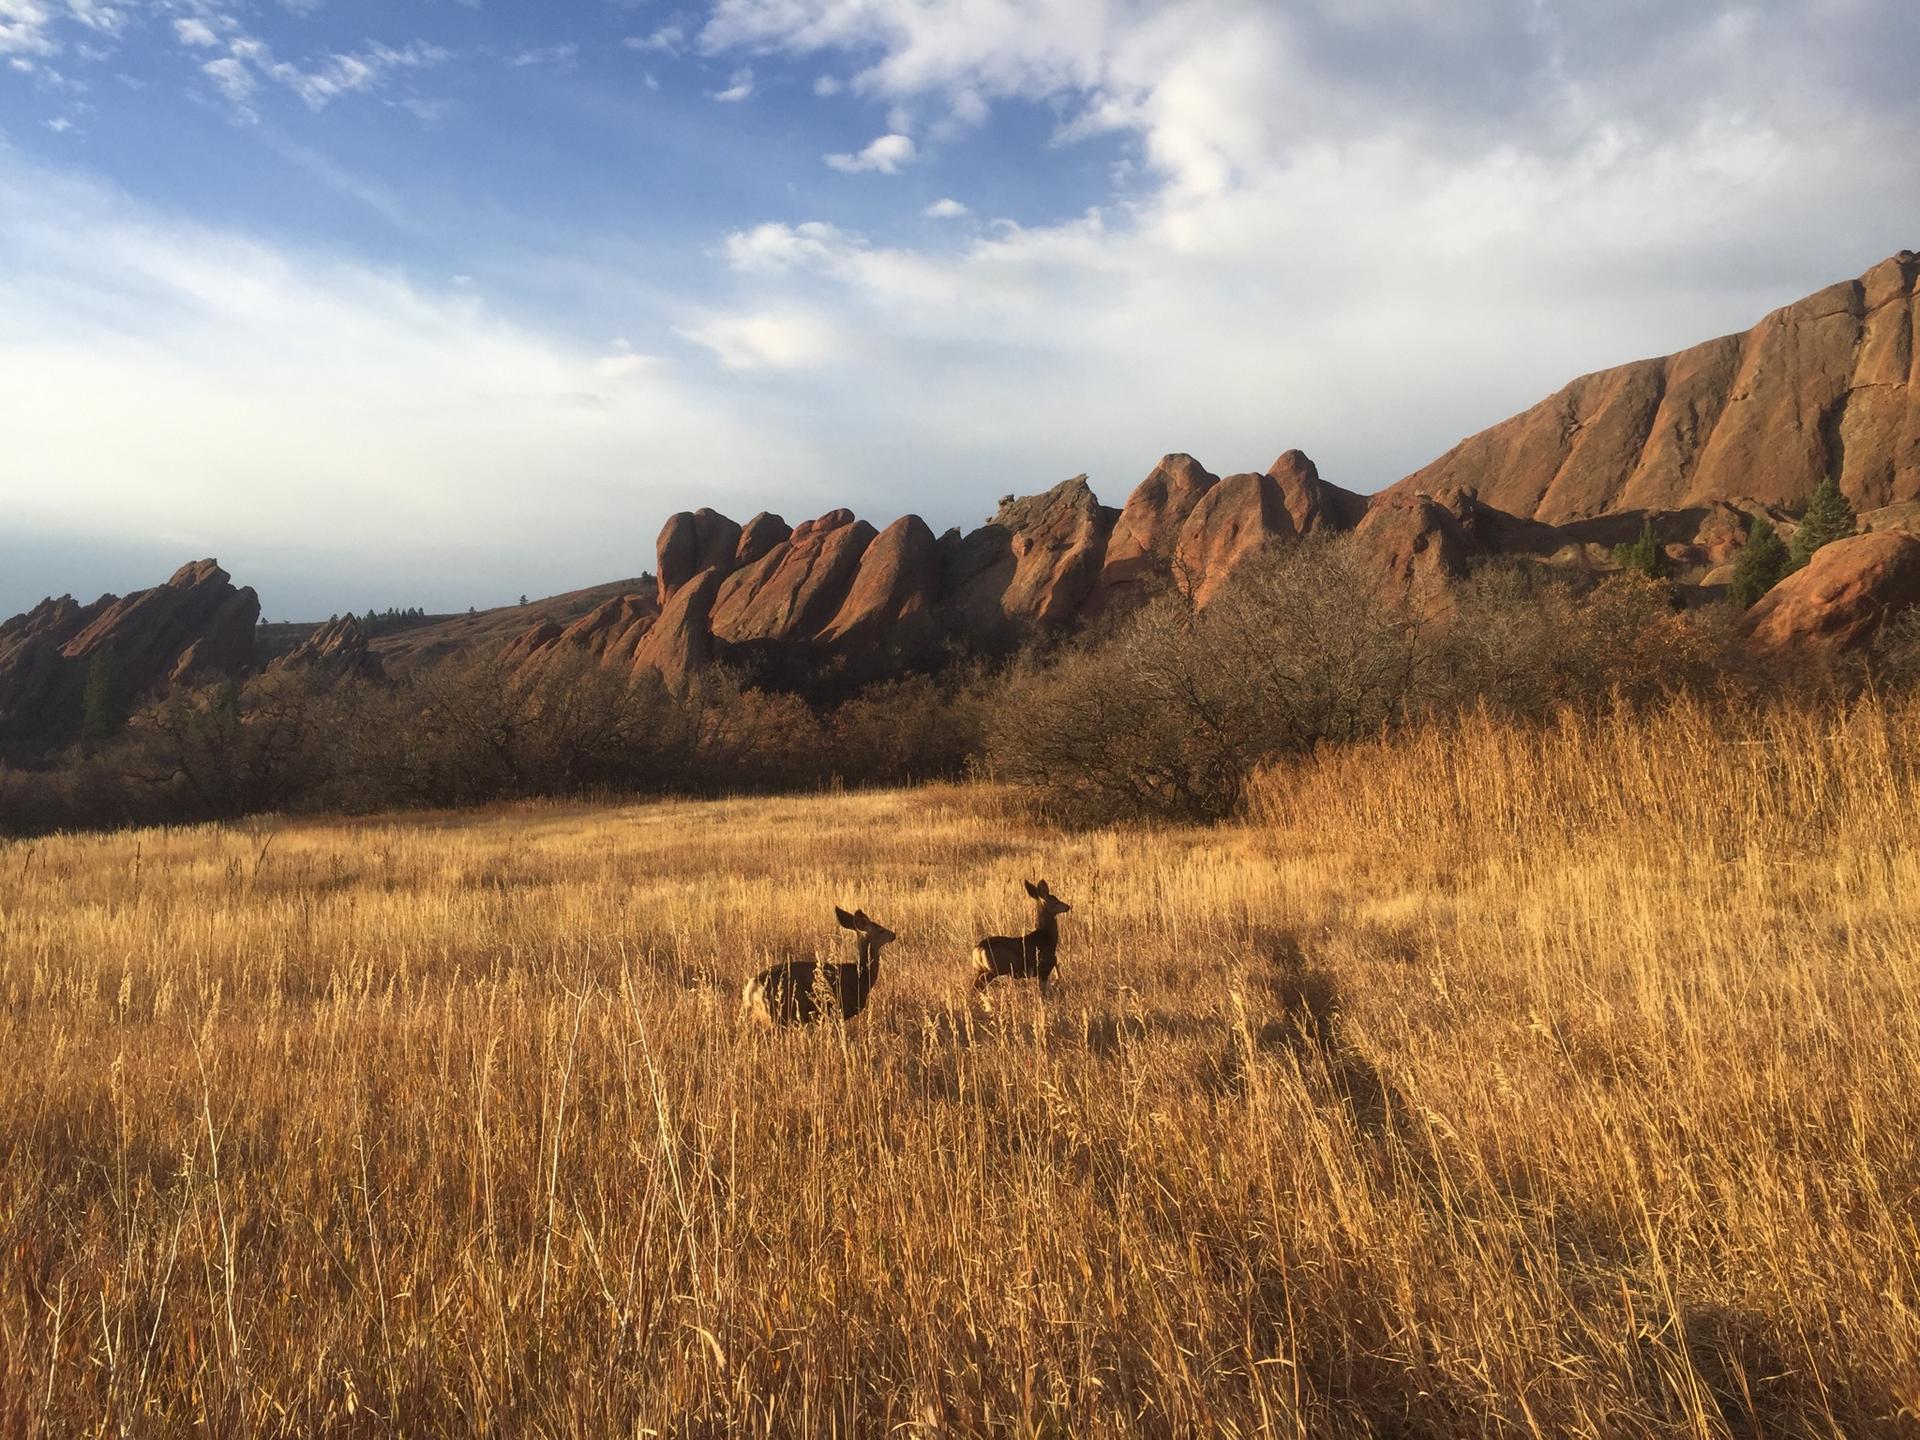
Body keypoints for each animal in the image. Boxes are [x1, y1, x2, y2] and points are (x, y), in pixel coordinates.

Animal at [741, 907, 899, 1027]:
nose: (893, 935)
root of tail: (751, 989)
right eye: (881, 930)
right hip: (778, 1013)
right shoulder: (837, 1010)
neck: (861, 976)